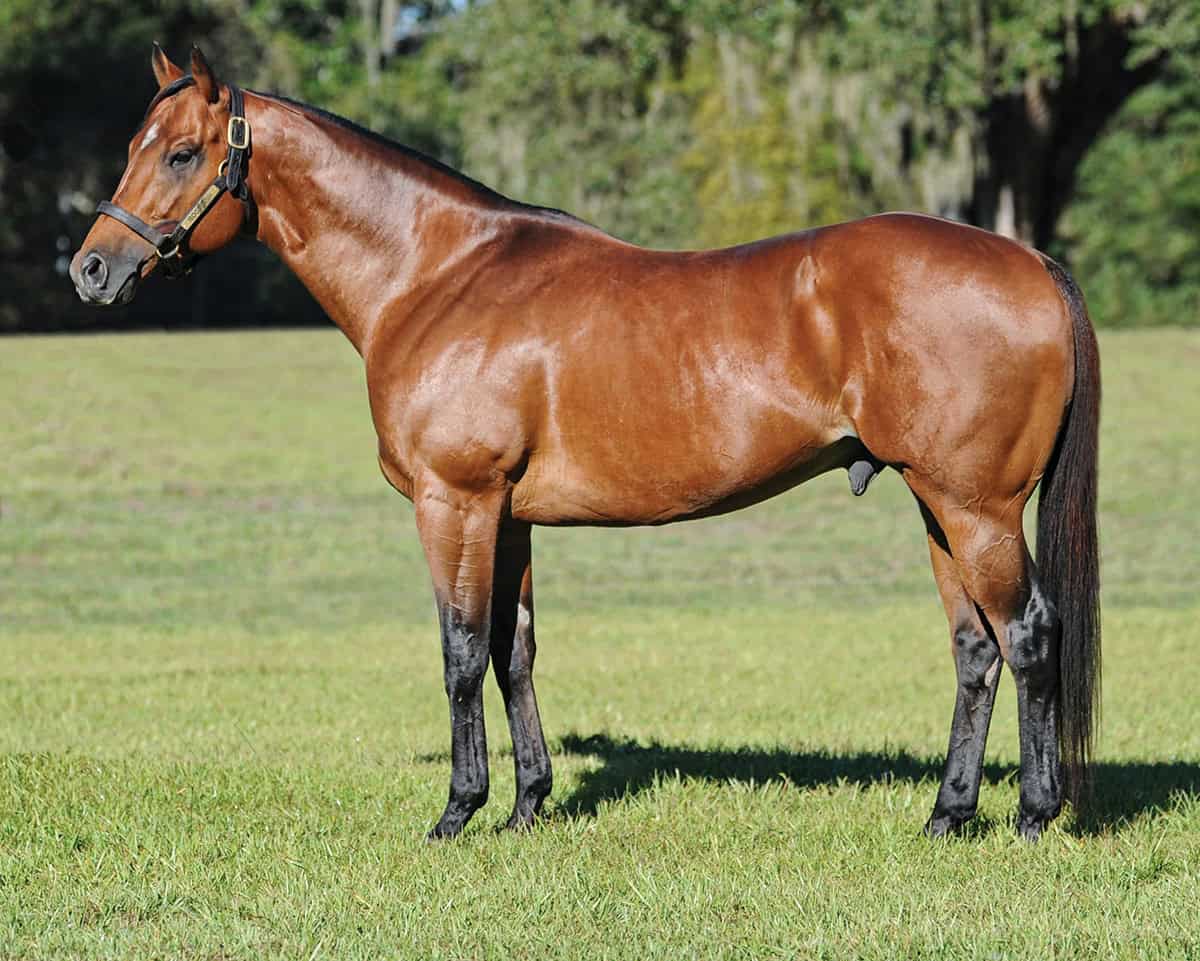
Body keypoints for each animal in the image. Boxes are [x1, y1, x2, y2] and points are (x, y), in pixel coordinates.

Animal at [70, 45, 1100, 842]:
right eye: (132, 147)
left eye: (182, 152)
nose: (91, 270)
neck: (435, 273)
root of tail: (1030, 261)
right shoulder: (510, 515)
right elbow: (511, 649)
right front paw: (528, 806)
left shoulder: (456, 502)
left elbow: (457, 649)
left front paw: (457, 811)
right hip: (938, 505)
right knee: (974, 649)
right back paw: (947, 815)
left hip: (975, 509)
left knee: (1027, 633)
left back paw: (1032, 815)